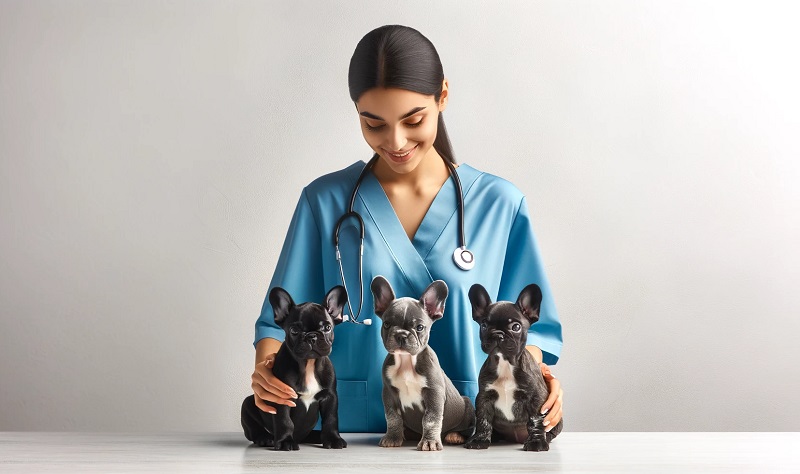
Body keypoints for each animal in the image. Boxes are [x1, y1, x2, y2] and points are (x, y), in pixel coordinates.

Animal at [241, 286, 346, 452]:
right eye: (294, 330)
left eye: (327, 327)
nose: (312, 336)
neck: (308, 364)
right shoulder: (282, 396)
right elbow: (284, 421)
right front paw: (285, 441)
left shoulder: (330, 397)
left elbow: (331, 418)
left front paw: (332, 439)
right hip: (248, 404)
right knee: (252, 430)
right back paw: (265, 438)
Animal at [374, 276, 478, 454]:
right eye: (386, 324)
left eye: (420, 327)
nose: (401, 334)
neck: (406, 361)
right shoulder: (389, 393)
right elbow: (392, 417)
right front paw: (392, 437)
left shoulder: (433, 393)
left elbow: (431, 419)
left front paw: (429, 442)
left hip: (467, 406)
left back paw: (455, 435)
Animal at [462, 284, 564, 450]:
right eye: (484, 325)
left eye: (516, 327)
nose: (497, 334)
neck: (505, 364)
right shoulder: (484, 397)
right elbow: (483, 420)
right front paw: (480, 439)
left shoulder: (536, 399)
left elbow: (536, 422)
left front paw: (536, 442)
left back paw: (545, 438)